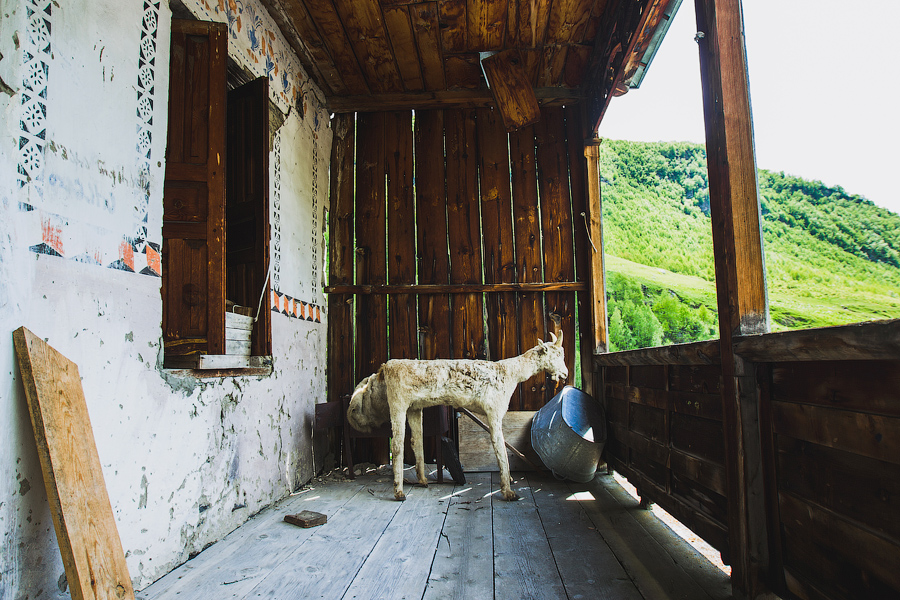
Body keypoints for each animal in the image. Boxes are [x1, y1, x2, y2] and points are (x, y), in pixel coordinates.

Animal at [348, 332, 568, 502]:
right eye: (557, 354)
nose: (565, 374)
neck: (510, 373)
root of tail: (385, 367)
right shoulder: (494, 411)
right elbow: (501, 451)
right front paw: (508, 491)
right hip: (398, 403)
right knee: (397, 444)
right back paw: (399, 492)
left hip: (413, 408)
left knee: (416, 440)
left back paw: (423, 481)